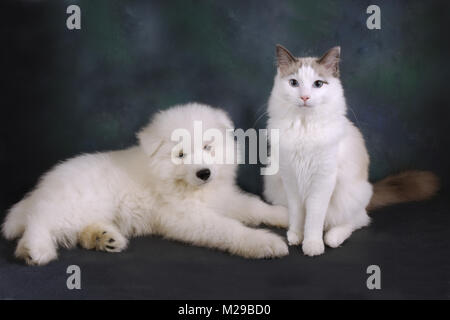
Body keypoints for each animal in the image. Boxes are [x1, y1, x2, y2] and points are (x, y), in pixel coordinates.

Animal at [1, 102, 288, 264]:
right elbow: (228, 228)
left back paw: (103, 238)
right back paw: (36, 250)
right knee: (40, 221)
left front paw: (282, 214)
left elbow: (253, 206)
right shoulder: (184, 217)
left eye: (208, 147)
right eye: (180, 154)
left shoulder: (223, 197)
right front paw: (262, 242)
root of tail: (42, 188)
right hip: (75, 204)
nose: (204, 173)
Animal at [264, 45, 440, 256]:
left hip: (348, 196)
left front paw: (312, 245)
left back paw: (332, 238)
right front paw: (296, 236)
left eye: (318, 84)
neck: (304, 128)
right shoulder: (290, 178)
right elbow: (298, 214)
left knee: (357, 221)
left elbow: (314, 218)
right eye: (293, 83)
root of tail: (370, 190)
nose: (305, 97)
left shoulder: (322, 181)